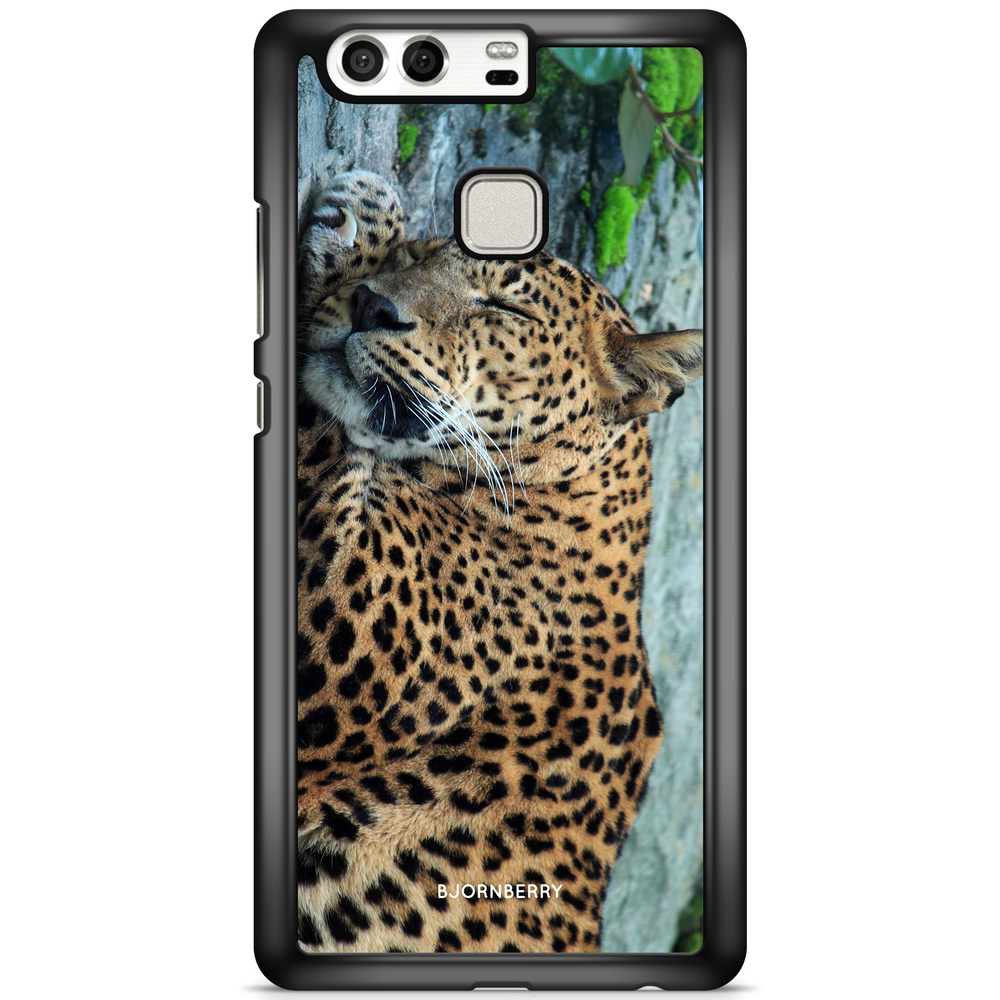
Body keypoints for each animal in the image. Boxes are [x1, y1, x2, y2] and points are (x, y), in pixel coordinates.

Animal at [295, 171, 703, 954]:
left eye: (503, 307)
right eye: (424, 255)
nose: (372, 305)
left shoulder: (347, 614)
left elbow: (320, 431)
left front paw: (359, 217)